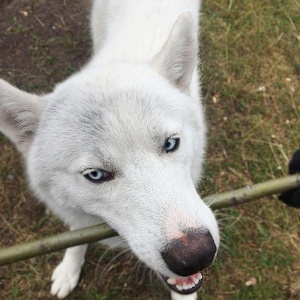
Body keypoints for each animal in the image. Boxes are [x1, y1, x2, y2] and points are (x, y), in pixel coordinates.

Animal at [0, 0, 220, 300]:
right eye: (95, 175)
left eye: (170, 144)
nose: (197, 255)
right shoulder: (78, 215)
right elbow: (77, 236)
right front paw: (69, 269)